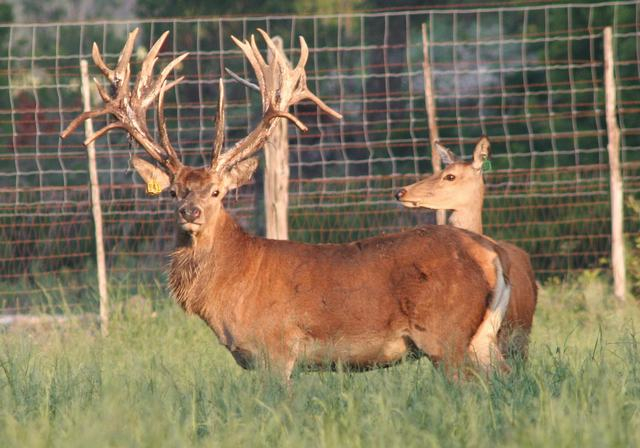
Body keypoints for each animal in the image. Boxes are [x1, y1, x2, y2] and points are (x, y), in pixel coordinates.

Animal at [62, 28, 512, 380]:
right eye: (174, 191)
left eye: (217, 192)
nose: (190, 212)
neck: (232, 287)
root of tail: (490, 254)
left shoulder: (275, 348)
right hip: (482, 340)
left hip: (446, 334)